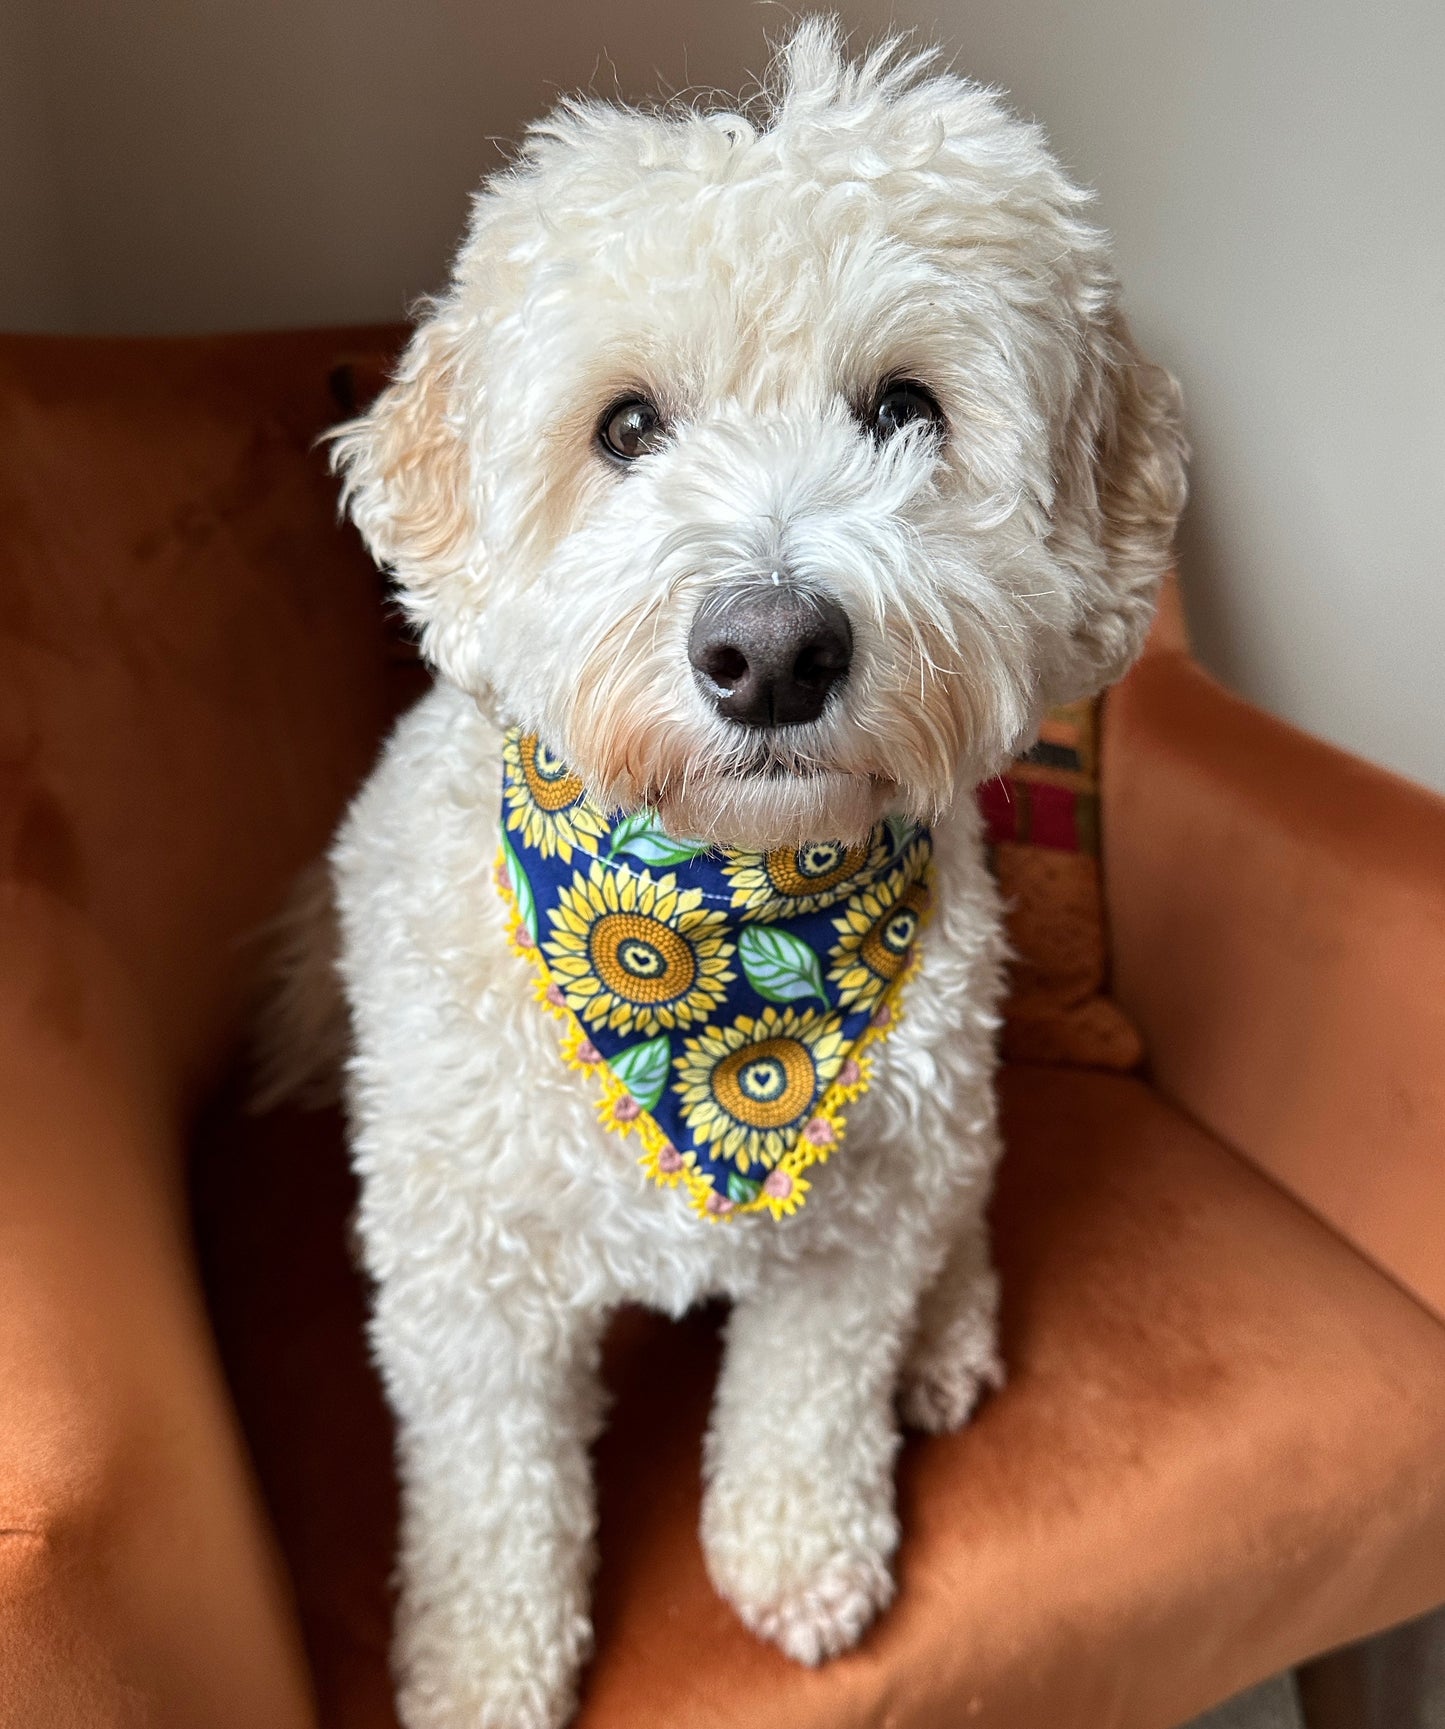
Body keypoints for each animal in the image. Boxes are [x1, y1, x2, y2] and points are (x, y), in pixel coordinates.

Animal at [295, 20, 1182, 1722]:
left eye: (906, 409)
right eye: (628, 427)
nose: (772, 650)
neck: (715, 930)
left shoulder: (854, 1227)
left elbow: (808, 1401)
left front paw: (796, 1557)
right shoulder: (462, 1276)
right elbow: (490, 1495)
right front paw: (481, 1665)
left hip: (952, 1126)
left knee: (957, 1225)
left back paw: (946, 1339)